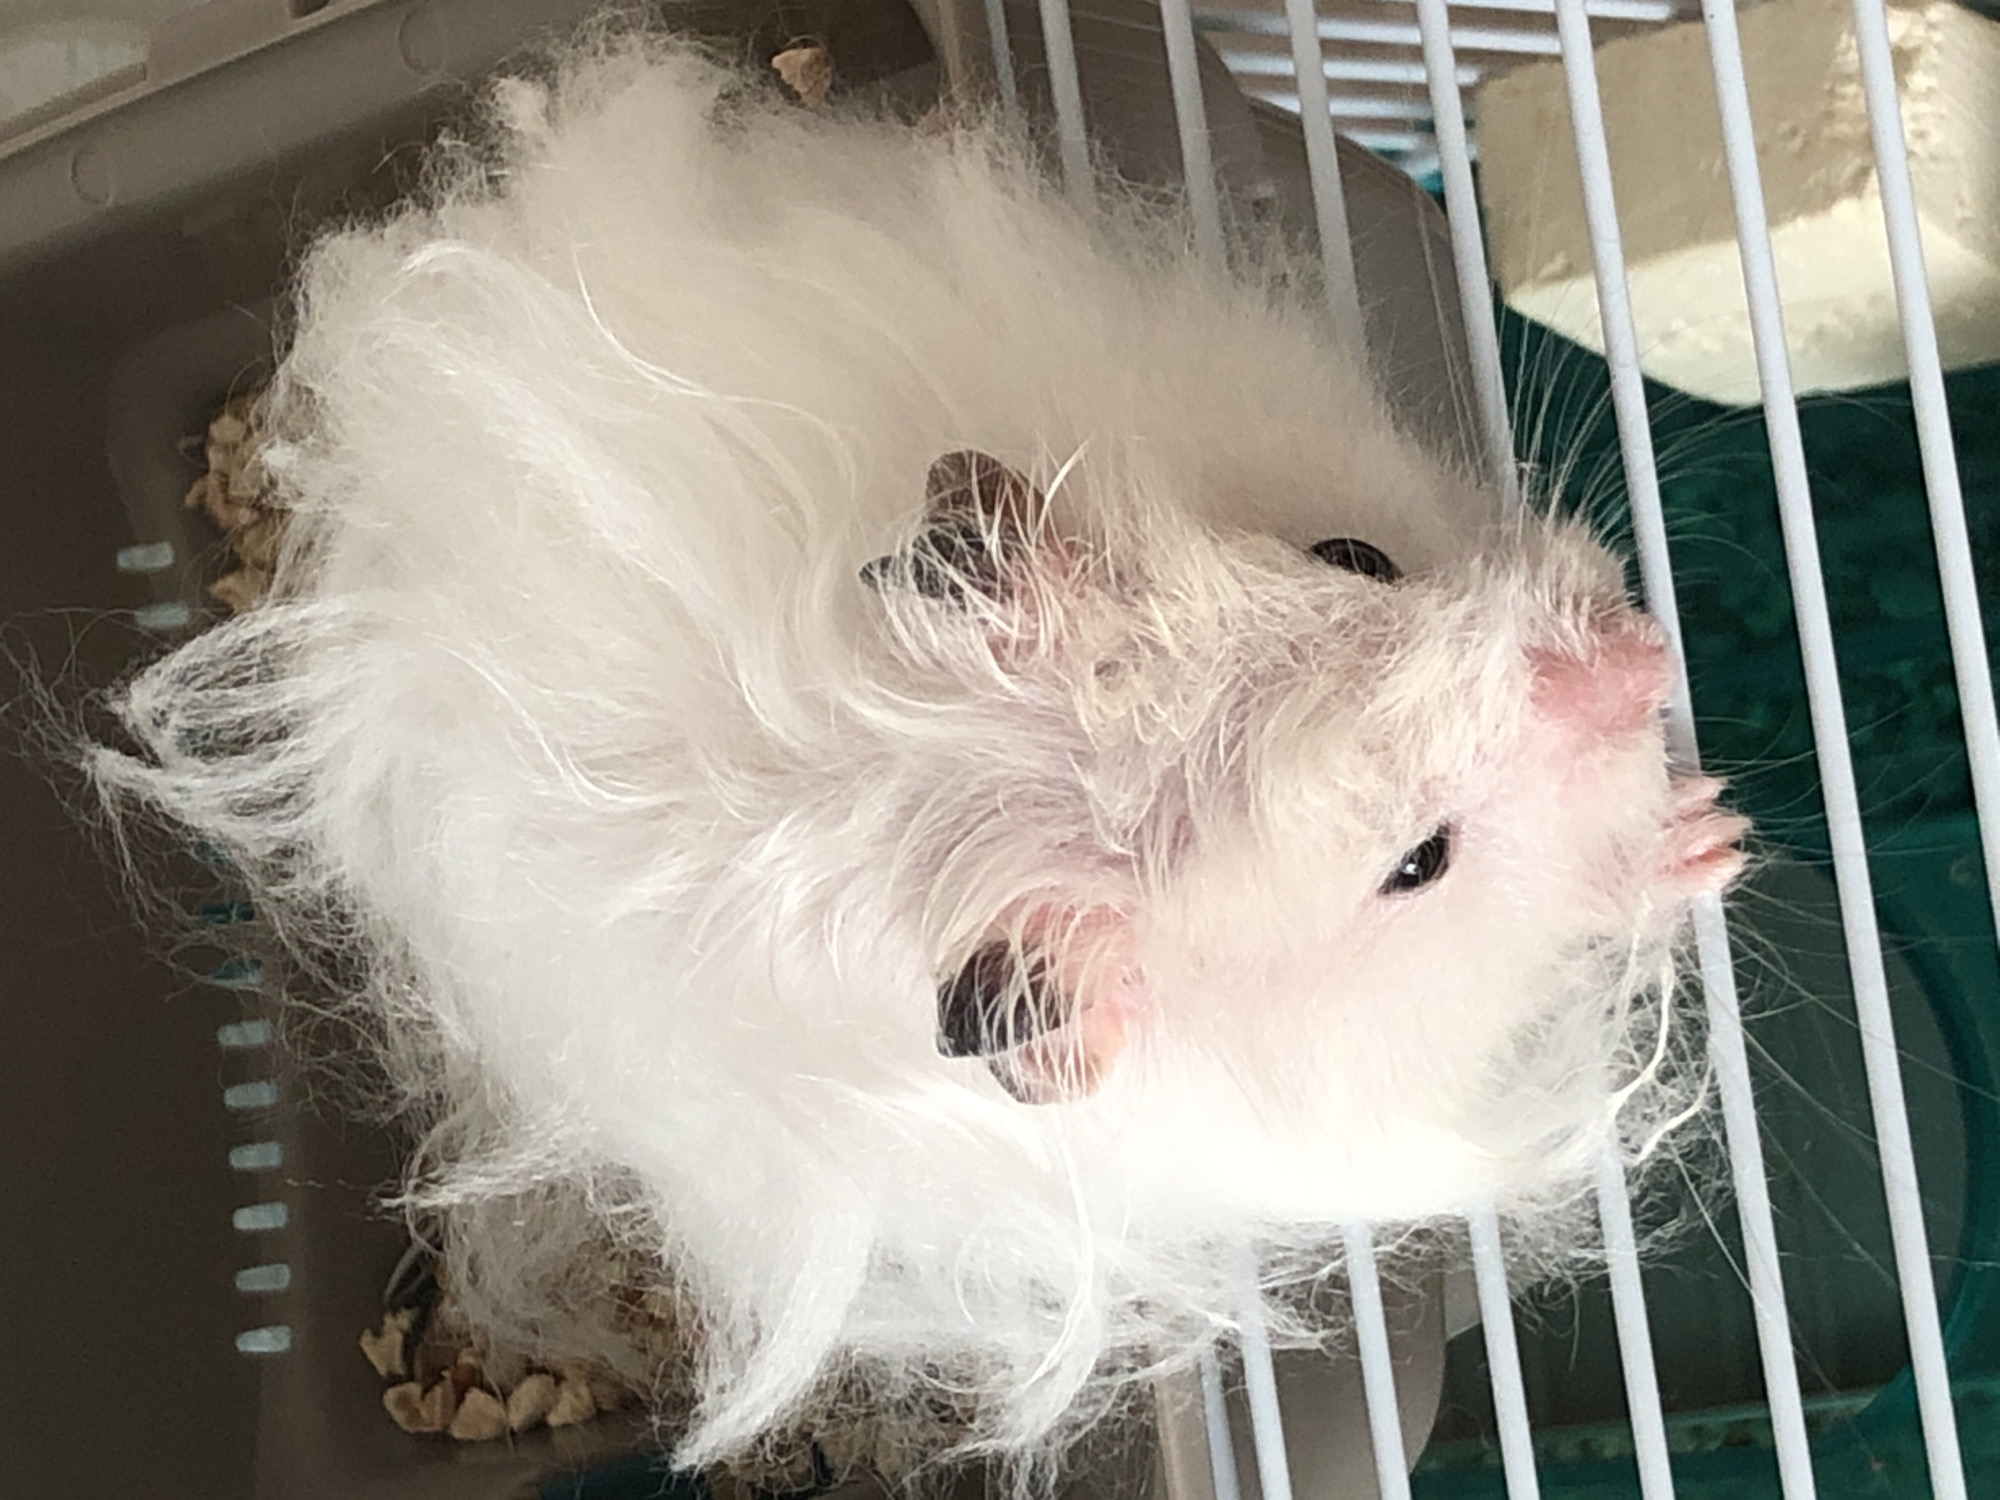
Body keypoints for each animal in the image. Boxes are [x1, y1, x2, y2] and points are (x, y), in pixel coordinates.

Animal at [87, 35, 1745, 1469]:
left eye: (1359, 554)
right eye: (1417, 864)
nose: (1648, 652)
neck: (1015, 775)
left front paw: (1705, 802)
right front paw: (1712, 834)